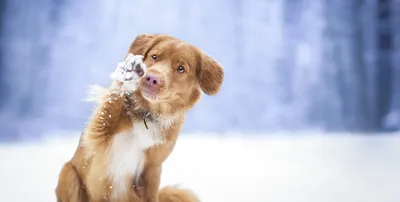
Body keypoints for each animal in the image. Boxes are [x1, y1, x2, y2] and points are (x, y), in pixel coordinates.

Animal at [55, 34, 225, 201]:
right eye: (154, 56)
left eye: (181, 68)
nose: (152, 78)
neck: (147, 114)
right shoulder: (100, 135)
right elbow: (111, 105)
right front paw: (128, 74)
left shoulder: (152, 168)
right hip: (68, 173)